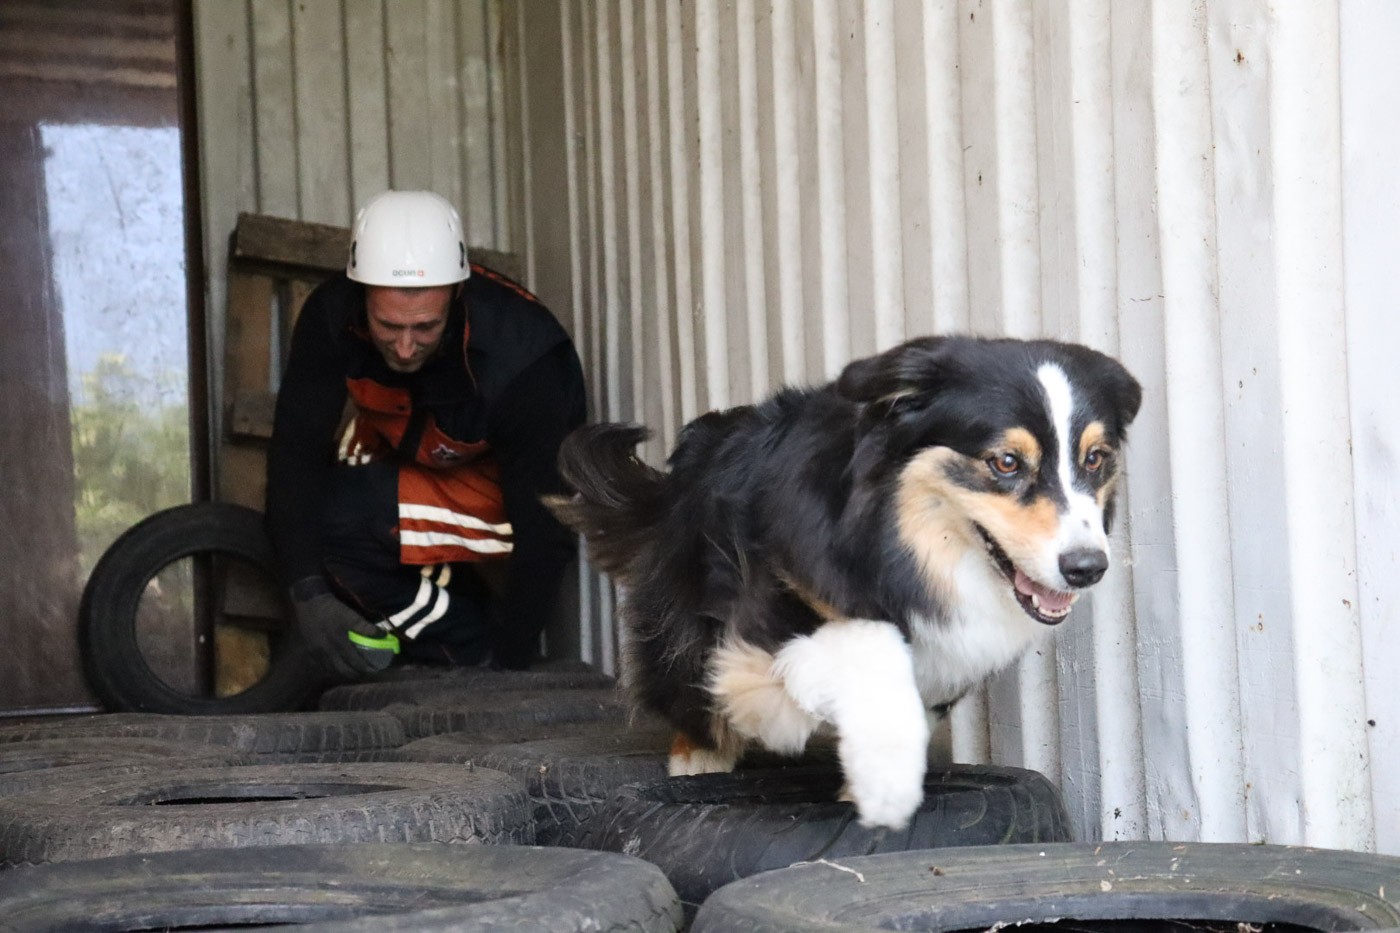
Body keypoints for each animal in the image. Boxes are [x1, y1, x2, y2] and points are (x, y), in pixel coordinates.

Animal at [549, 335, 1141, 829]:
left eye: (1095, 459)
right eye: (1006, 462)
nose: (1088, 567)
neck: (906, 549)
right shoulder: (776, 589)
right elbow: (823, 660)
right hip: (686, 622)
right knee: (693, 703)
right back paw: (698, 764)